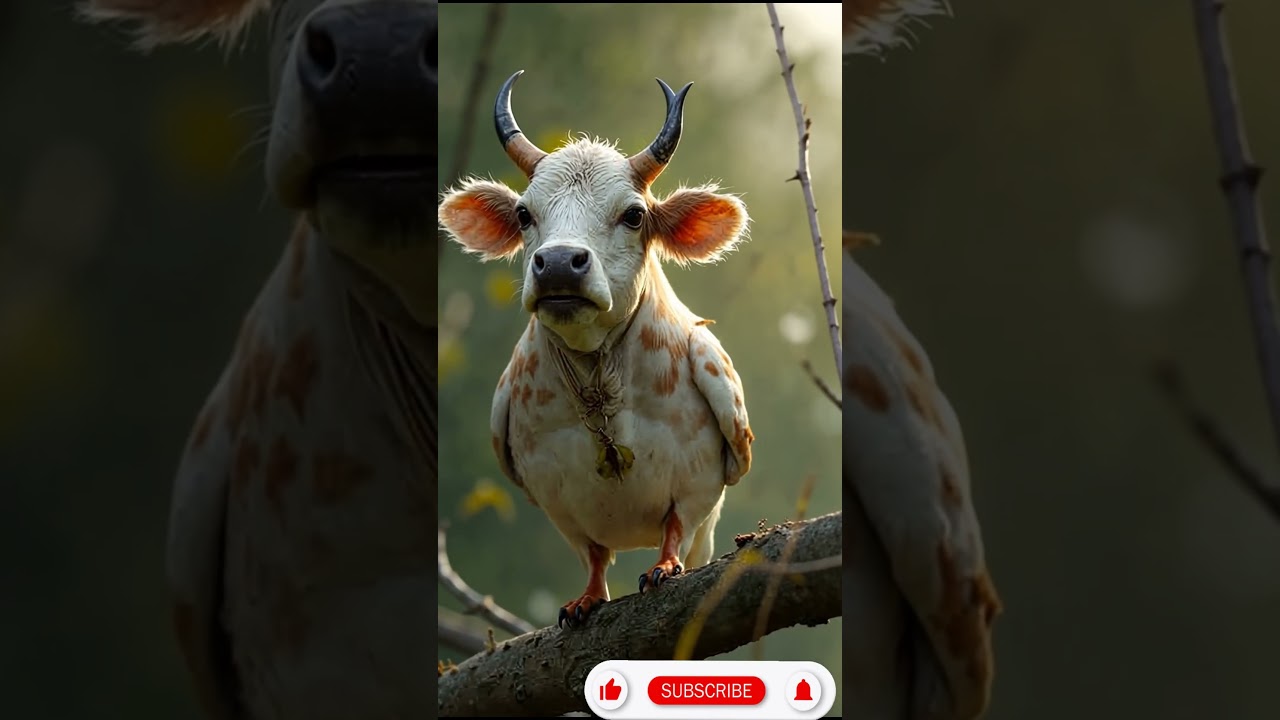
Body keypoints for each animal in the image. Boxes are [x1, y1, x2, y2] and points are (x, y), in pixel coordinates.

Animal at [438, 71, 755, 628]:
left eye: (633, 215)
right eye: (524, 213)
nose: (560, 263)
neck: (599, 373)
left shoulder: (696, 486)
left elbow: (674, 525)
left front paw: (664, 566)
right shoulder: (561, 506)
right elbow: (593, 555)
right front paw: (587, 596)